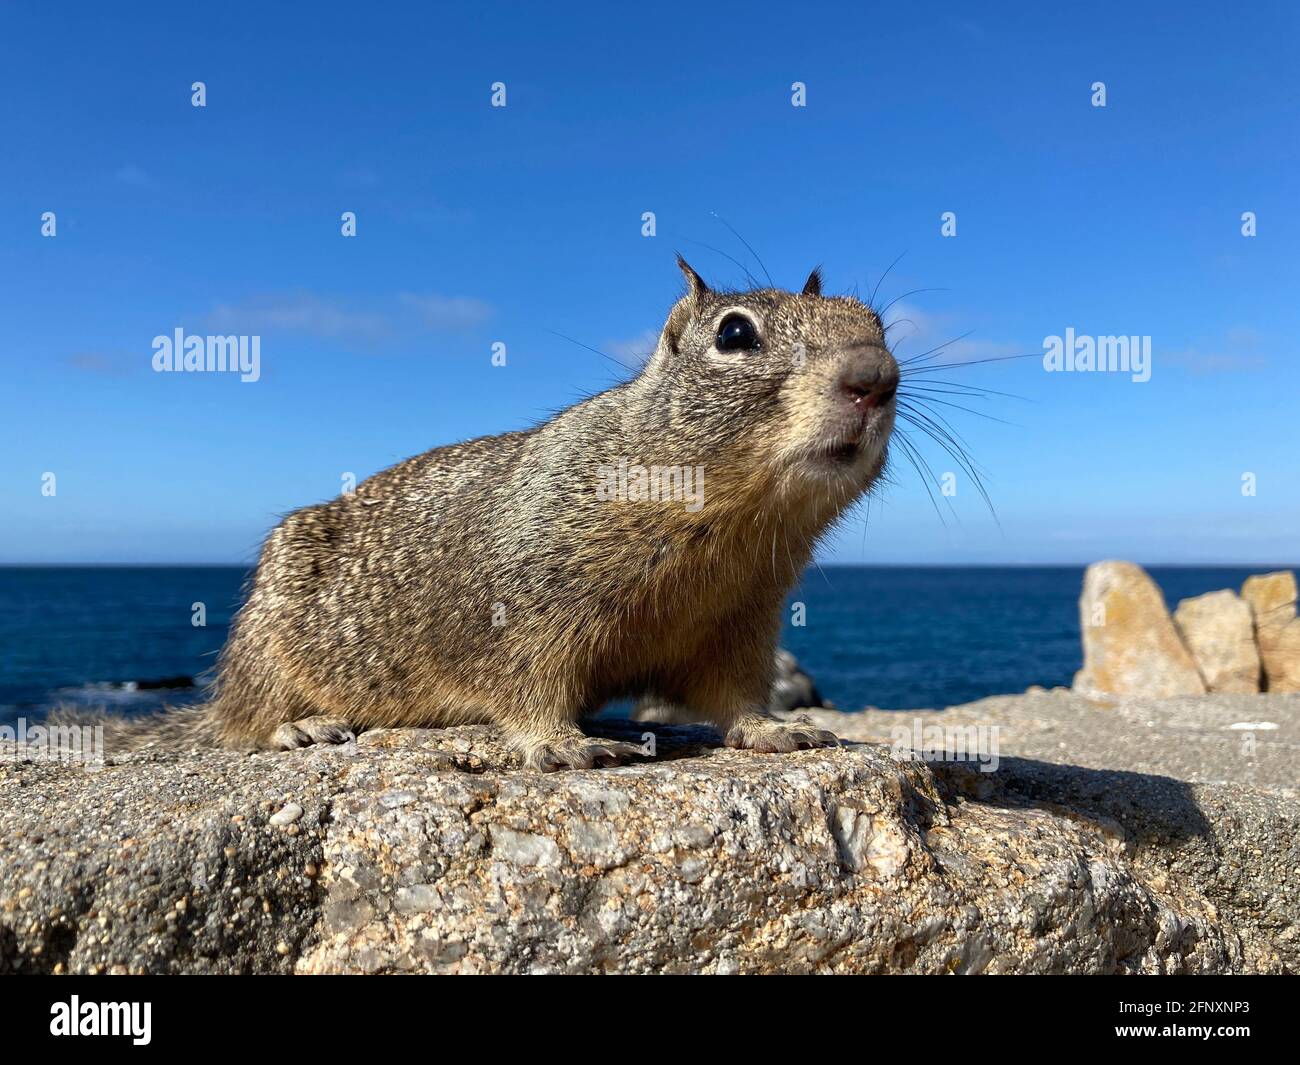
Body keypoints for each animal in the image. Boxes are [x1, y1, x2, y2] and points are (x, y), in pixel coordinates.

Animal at [93, 259, 899, 770]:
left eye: (876, 321)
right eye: (735, 334)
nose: (877, 376)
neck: (729, 525)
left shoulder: (742, 620)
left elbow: (734, 694)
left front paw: (775, 729)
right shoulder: (528, 609)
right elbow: (528, 681)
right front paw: (563, 743)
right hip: (265, 650)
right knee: (239, 724)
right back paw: (297, 727)